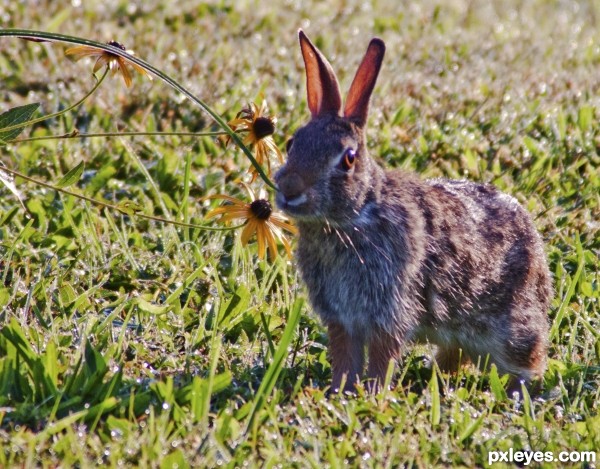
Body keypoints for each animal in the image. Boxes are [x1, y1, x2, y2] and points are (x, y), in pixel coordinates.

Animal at [274, 31, 552, 394]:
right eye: (292, 143)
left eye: (348, 159)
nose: (289, 189)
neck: (354, 217)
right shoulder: (342, 318)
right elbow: (346, 356)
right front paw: (340, 391)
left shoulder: (390, 308)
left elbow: (382, 355)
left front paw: (372, 393)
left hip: (511, 331)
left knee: (526, 360)